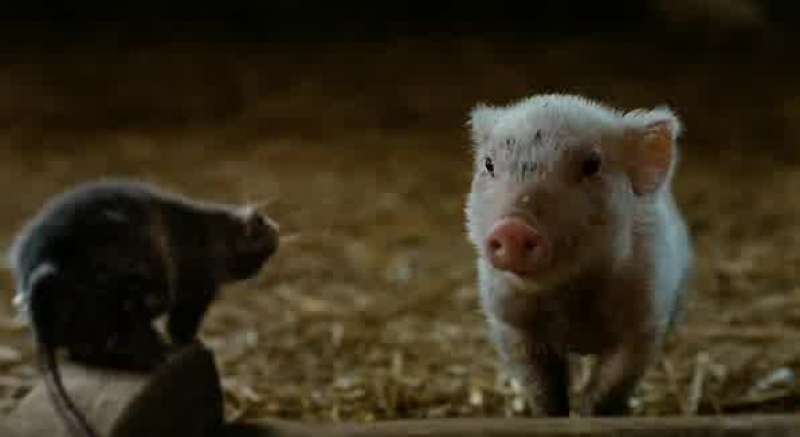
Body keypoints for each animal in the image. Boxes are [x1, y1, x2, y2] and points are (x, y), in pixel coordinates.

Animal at [465, 94, 692, 416]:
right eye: (489, 164)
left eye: (592, 165)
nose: (513, 228)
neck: (568, 299)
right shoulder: (511, 324)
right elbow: (543, 390)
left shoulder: (644, 321)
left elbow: (610, 387)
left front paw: (590, 414)